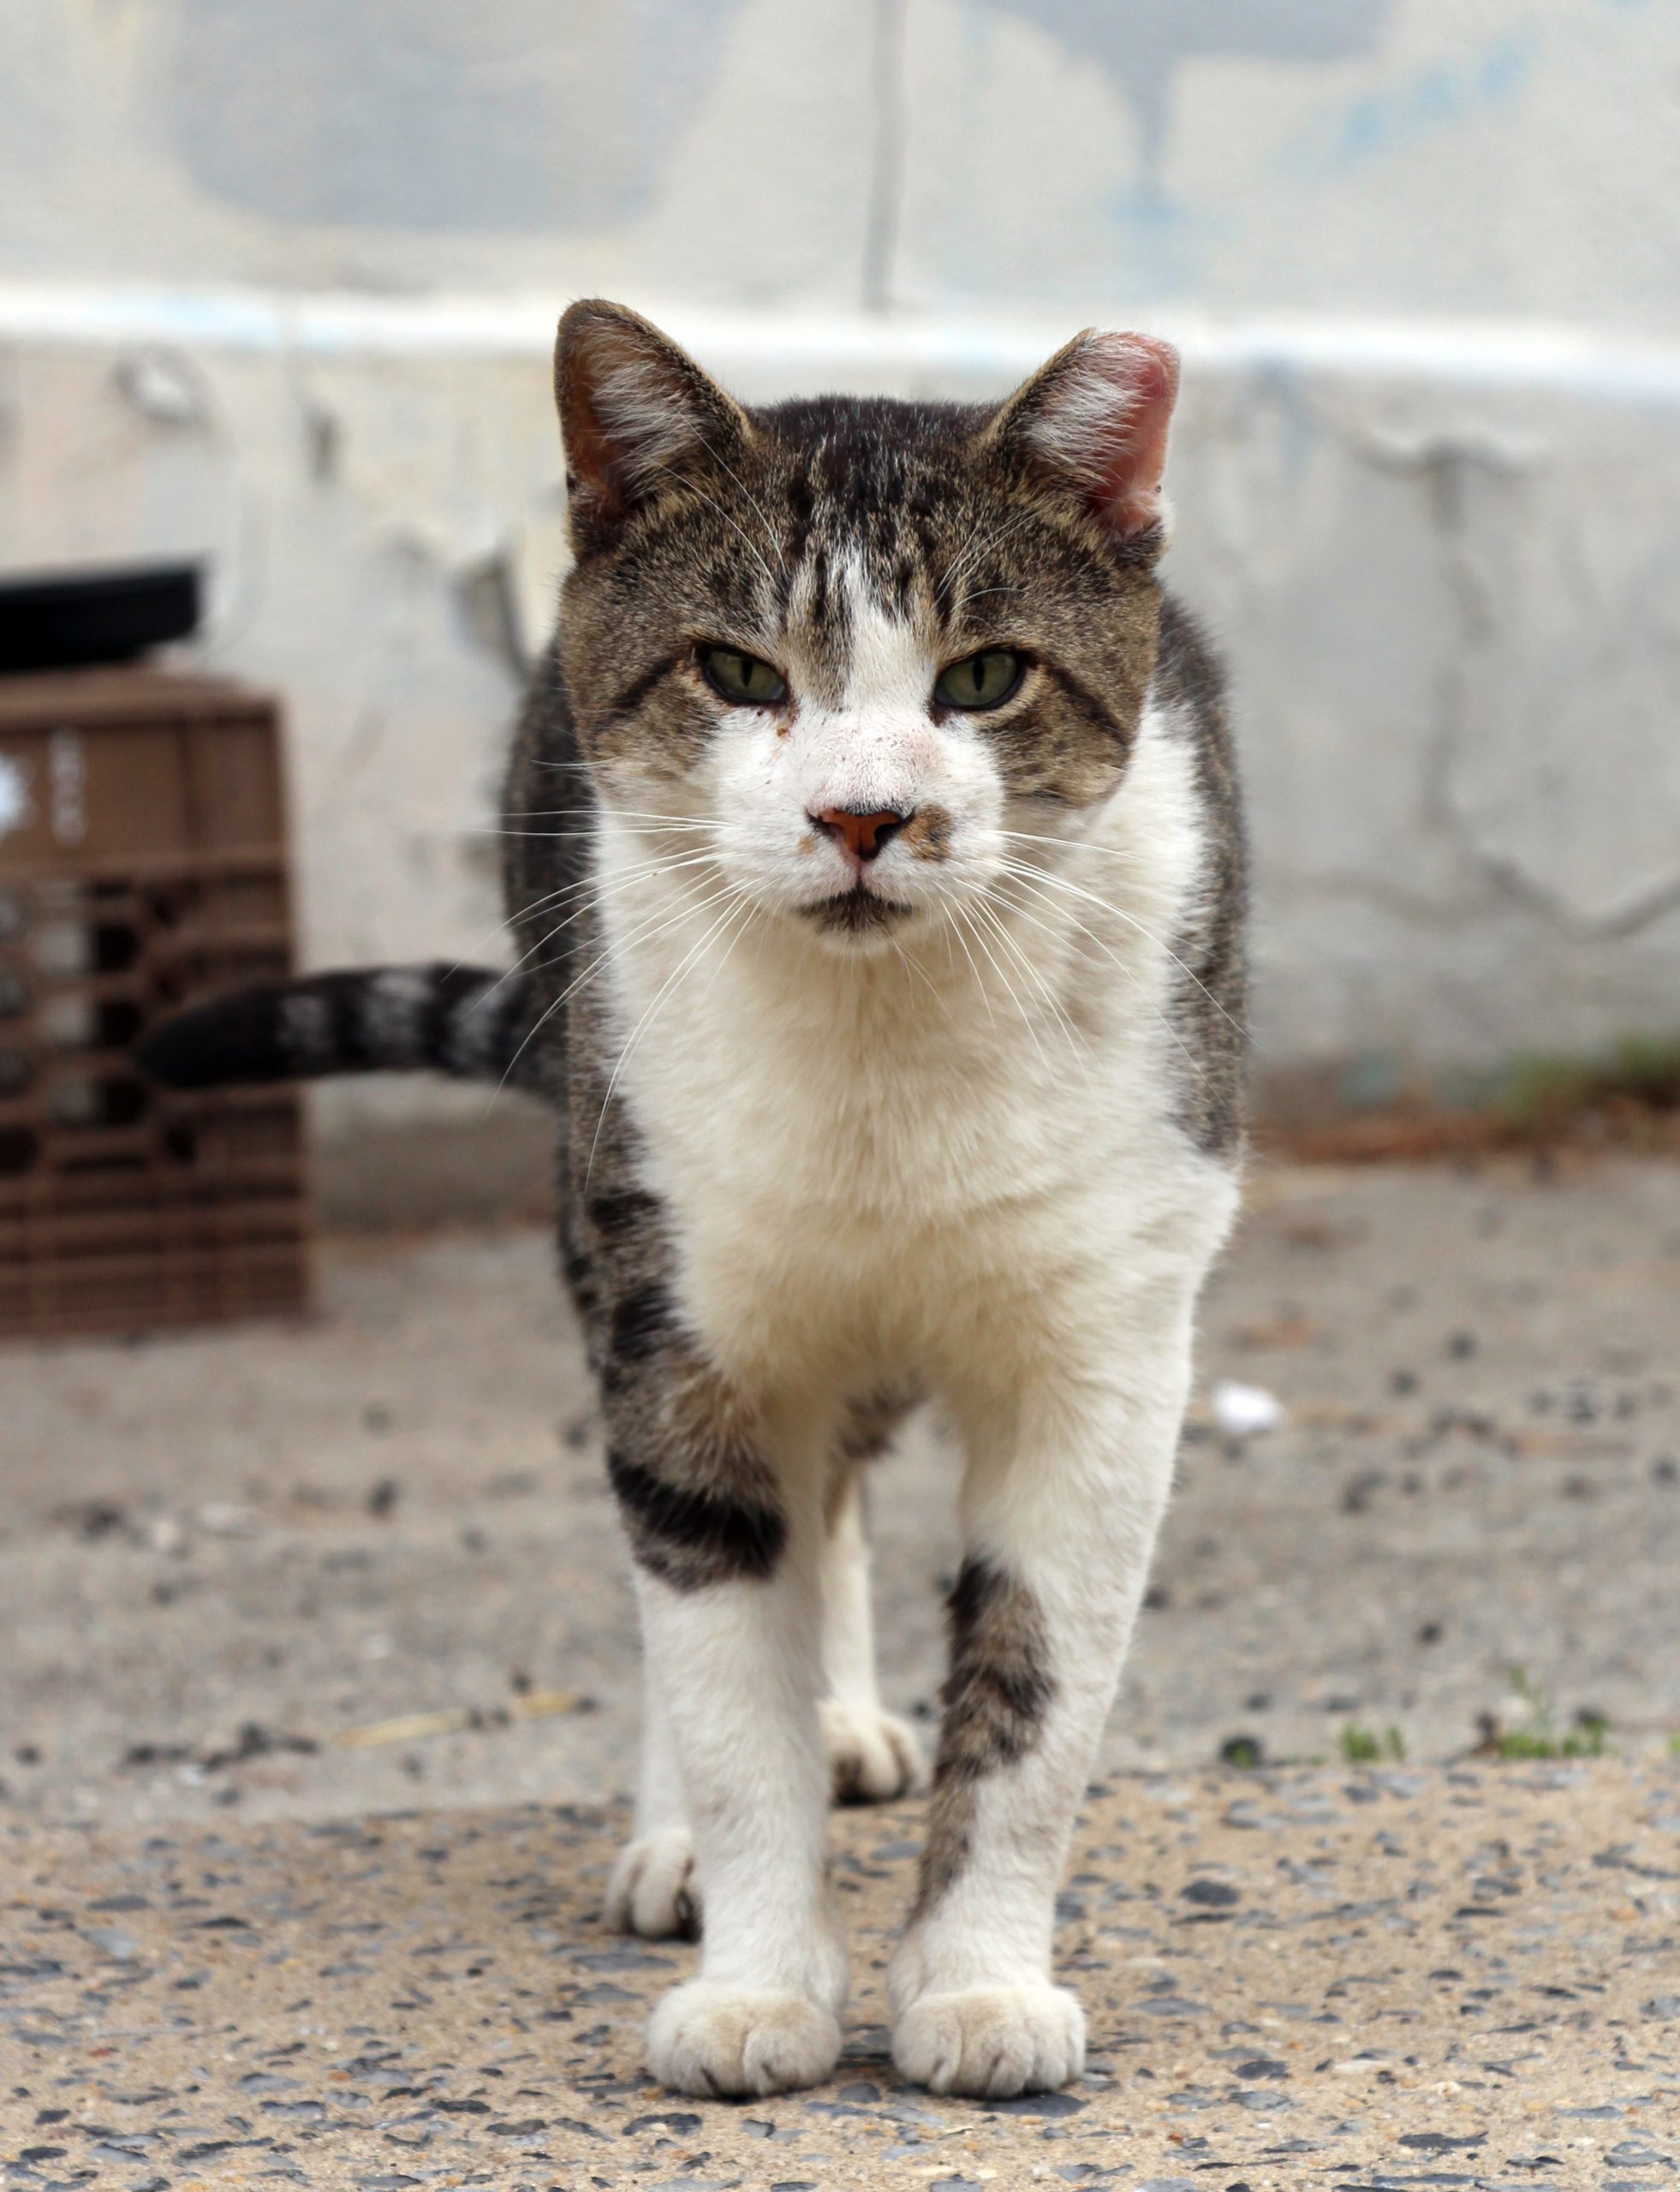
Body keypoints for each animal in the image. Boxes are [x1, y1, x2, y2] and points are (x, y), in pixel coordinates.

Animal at [145, 300, 1245, 2095]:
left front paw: (975, 1984)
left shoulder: (1106, 1352)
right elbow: (726, 1676)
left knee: (843, 1483)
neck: (878, 1060)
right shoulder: (674, 1317)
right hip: (606, 1200)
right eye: (739, 672)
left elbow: (1033, 1704)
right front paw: (759, 1982)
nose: (863, 814)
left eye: (983, 677)